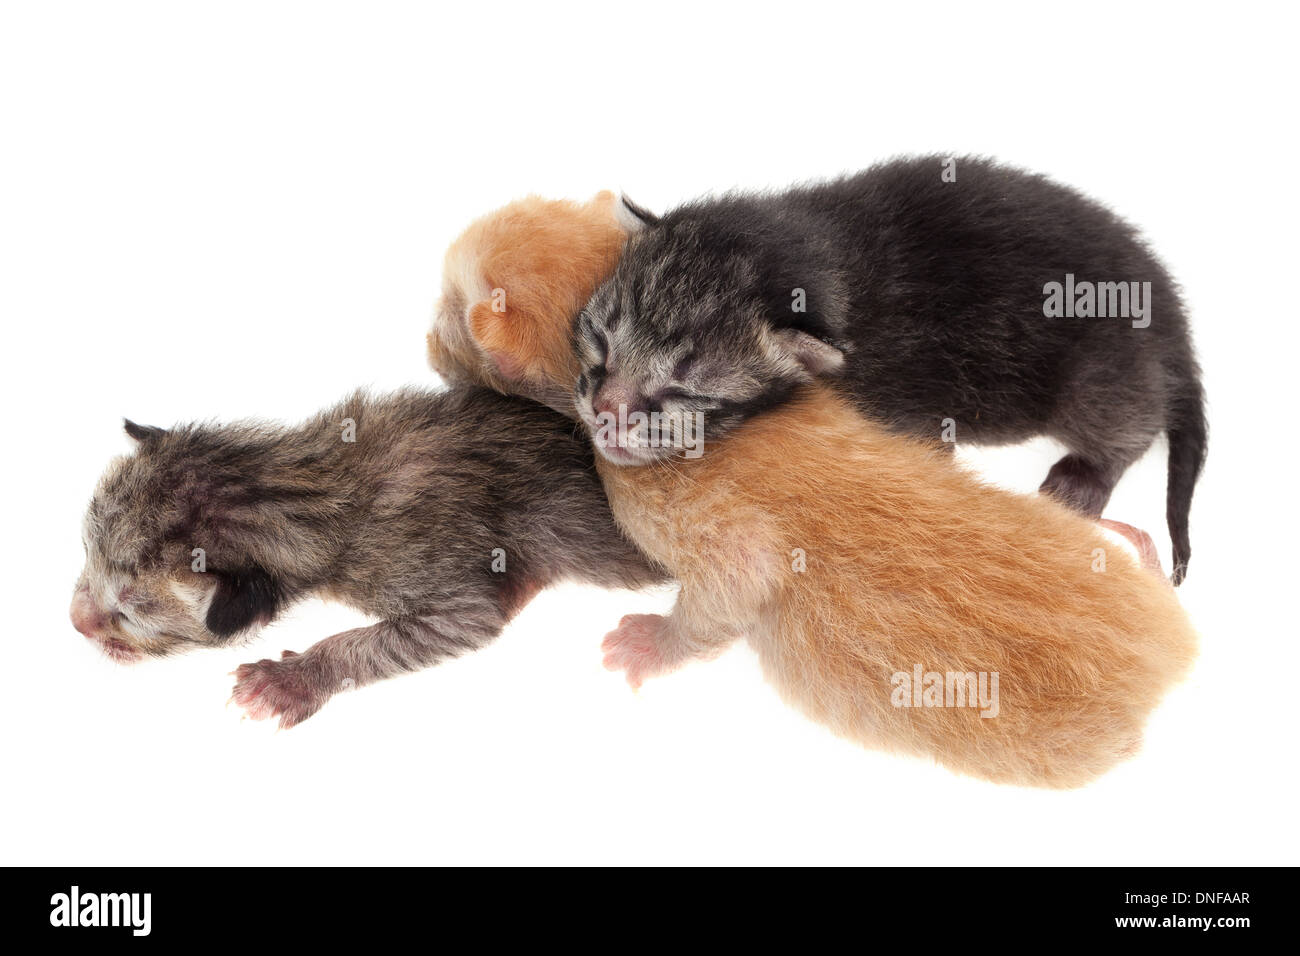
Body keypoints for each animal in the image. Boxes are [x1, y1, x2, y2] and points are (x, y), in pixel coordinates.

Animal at [71, 387, 665, 723]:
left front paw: (291, 681)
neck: (307, 482)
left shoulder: (445, 596)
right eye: (86, 550)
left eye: (129, 614)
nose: (74, 622)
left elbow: (410, 633)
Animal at [579, 155, 1206, 582]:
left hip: (1102, 375)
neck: (824, 257)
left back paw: (1083, 480)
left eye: (681, 389)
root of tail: (1169, 309)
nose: (606, 412)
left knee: (1128, 425)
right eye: (601, 342)